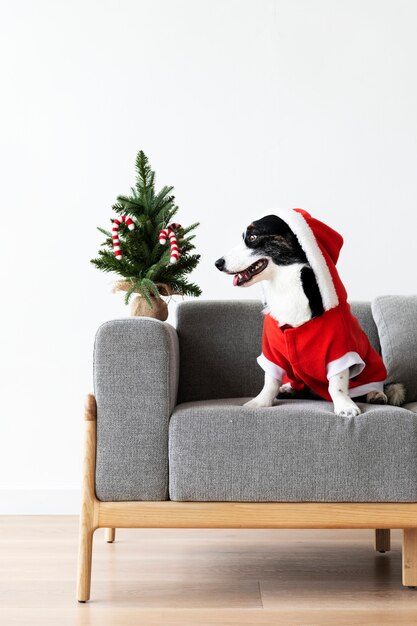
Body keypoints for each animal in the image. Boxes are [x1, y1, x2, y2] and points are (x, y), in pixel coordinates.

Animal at [214, 207, 404, 416]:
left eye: (253, 236)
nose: (217, 263)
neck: (286, 287)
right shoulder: (272, 351)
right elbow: (270, 381)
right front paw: (260, 402)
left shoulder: (339, 349)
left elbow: (336, 385)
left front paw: (345, 406)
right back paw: (288, 389)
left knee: (377, 385)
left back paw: (376, 394)